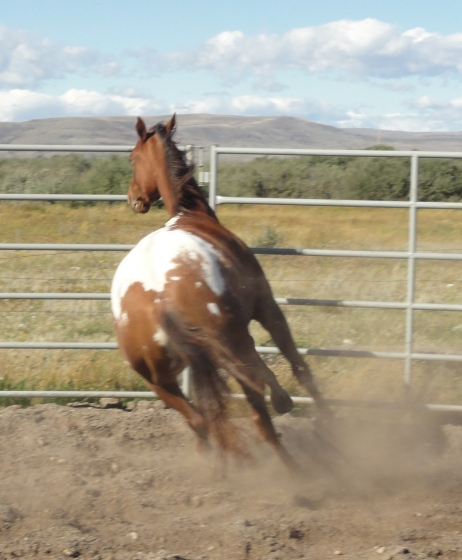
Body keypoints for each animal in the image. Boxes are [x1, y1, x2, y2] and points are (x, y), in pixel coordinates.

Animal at [111, 116, 328, 470]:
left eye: (131, 158)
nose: (133, 198)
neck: (190, 214)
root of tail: (158, 301)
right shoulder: (266, 307)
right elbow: (299, 367)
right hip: (229, 343)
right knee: (259, 406)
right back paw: (295, 466)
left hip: (159, 379)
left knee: (203, 420)